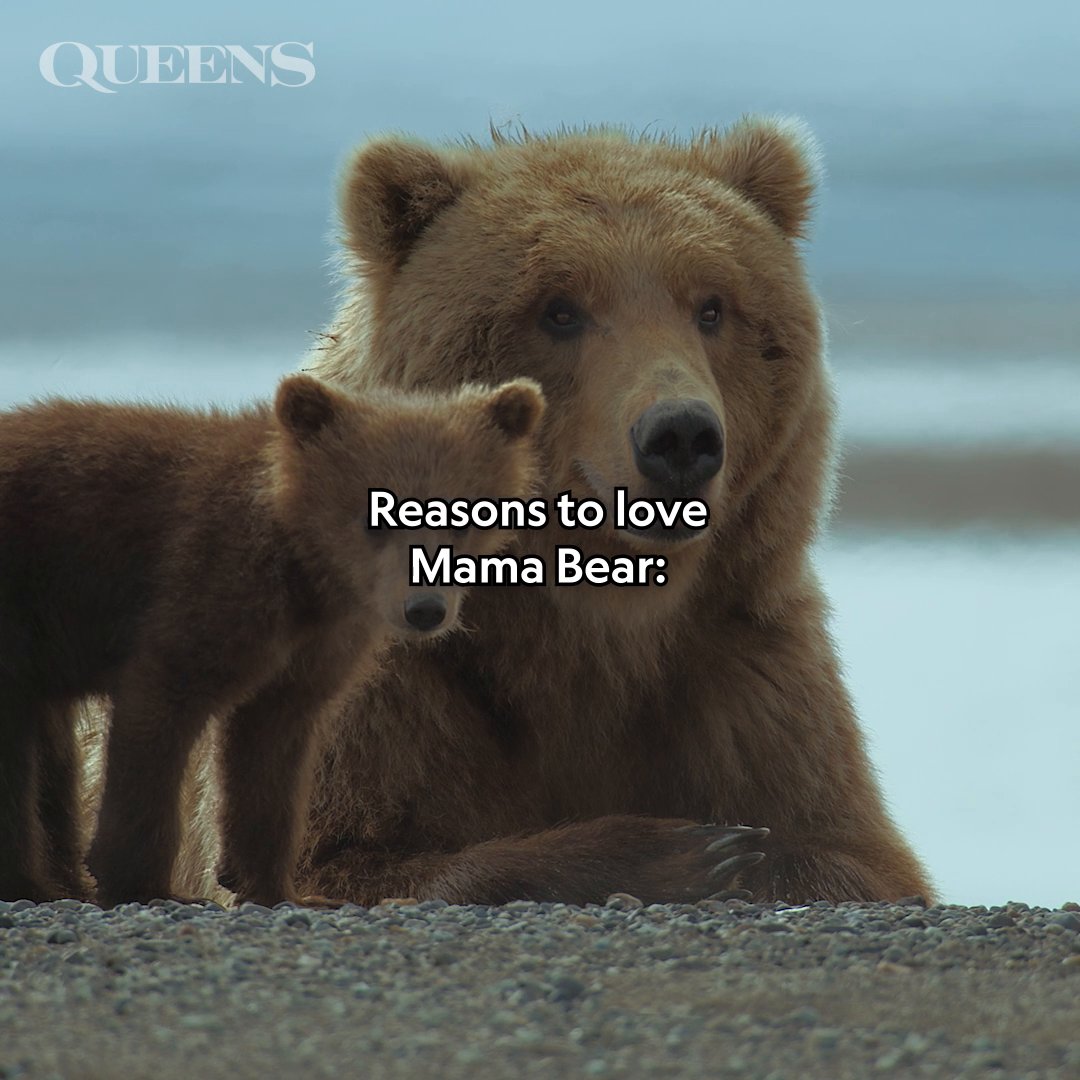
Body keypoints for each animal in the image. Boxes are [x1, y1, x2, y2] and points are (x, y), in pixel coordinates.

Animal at [0, 373, 545, 906]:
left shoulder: (313, 647)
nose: (426, 609)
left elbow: (271, 755)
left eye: (463, 513)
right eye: (377, 513)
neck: (307, 568)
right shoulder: (205, 582)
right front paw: (146, 885)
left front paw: (278, 888)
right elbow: (160, 716)